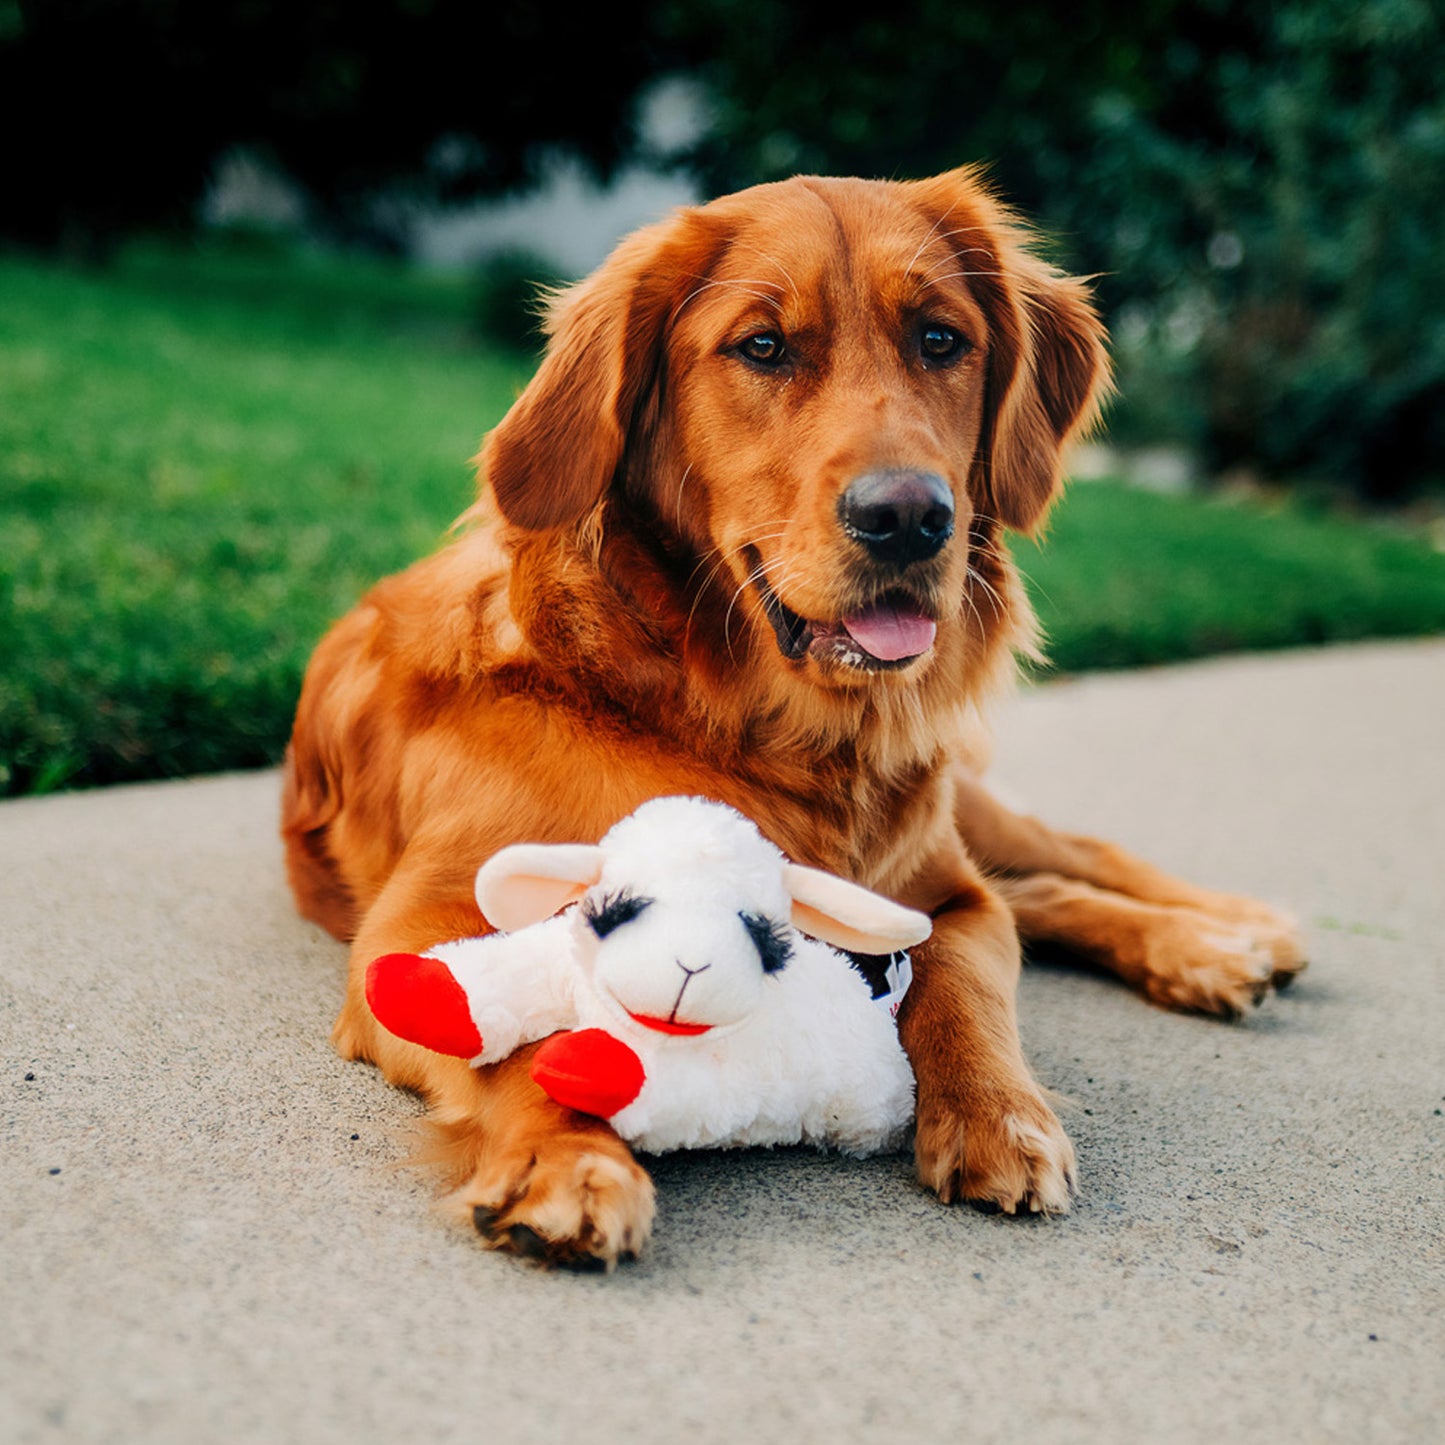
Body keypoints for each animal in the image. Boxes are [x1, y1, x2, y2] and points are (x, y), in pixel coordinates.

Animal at [275, 169, 1306, 1265]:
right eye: (762, 346)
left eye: (940, 339)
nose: (906, 517)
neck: (743, 724)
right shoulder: (417, 929)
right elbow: (517, 1028)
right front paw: (564, 1160)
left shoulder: (943, 894)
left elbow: (963, 986)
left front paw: (998, 1114)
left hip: (962, 808)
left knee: (1069, 858)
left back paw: (1229, 935)